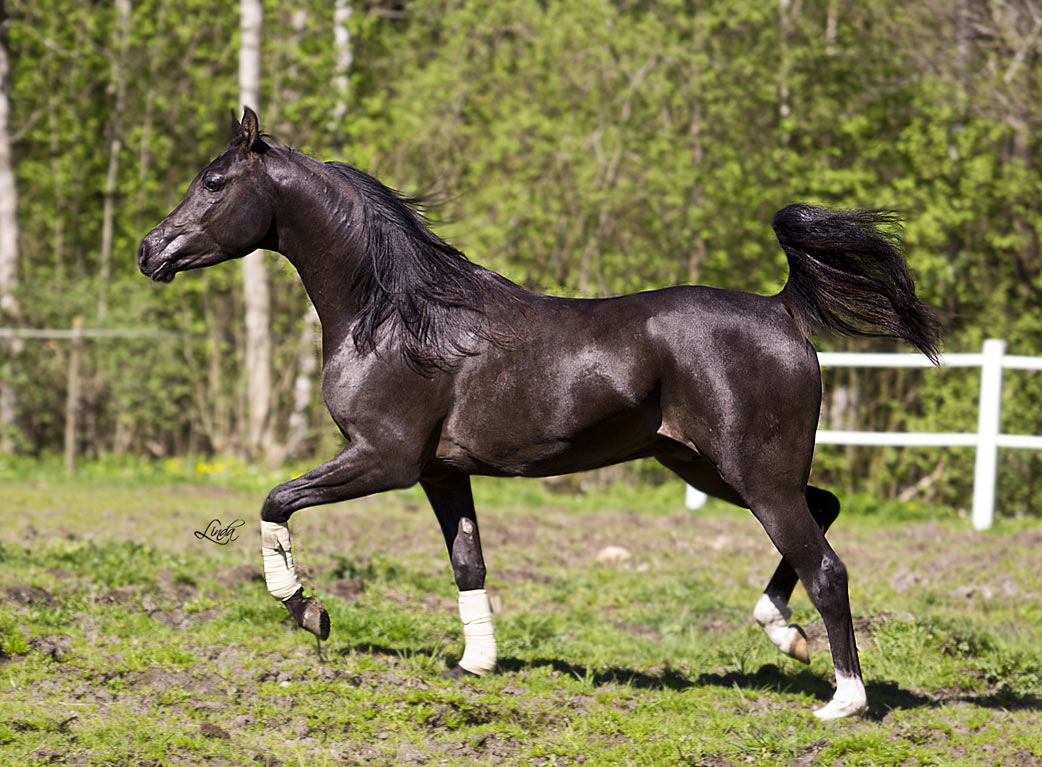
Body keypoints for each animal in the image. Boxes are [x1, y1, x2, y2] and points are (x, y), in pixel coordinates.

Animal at [134, 107, 941, 716]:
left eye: (214, 181)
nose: (149, 251)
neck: (395, 319)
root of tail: (781, 310)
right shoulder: (440, 471)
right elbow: (467, 559)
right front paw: (476, 663)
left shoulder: (384, 460)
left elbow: (275, 501)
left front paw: (309, 611)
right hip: (710, 467)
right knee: (825, 511)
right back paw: (784, 634)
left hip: (755, 475)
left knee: (827, 566)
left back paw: (844, 701)